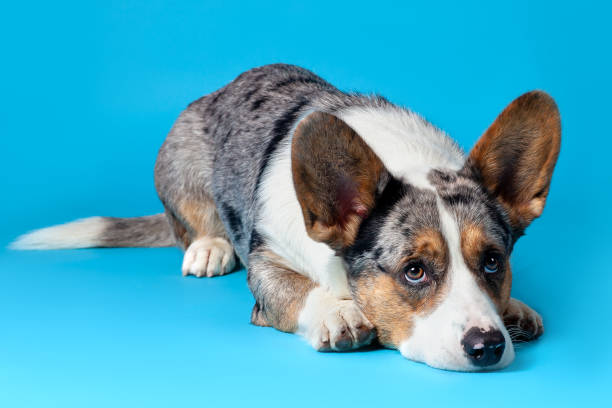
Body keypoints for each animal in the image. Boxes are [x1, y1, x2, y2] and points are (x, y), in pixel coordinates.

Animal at [11, 64, 560, 372]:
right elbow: (299, 289)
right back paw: (209, 247)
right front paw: (339, 312)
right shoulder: (267, 261)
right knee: (191, 225)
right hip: (179, 161)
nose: (488, 346)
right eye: (414, 271)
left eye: (492, 262)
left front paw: (515, 308)